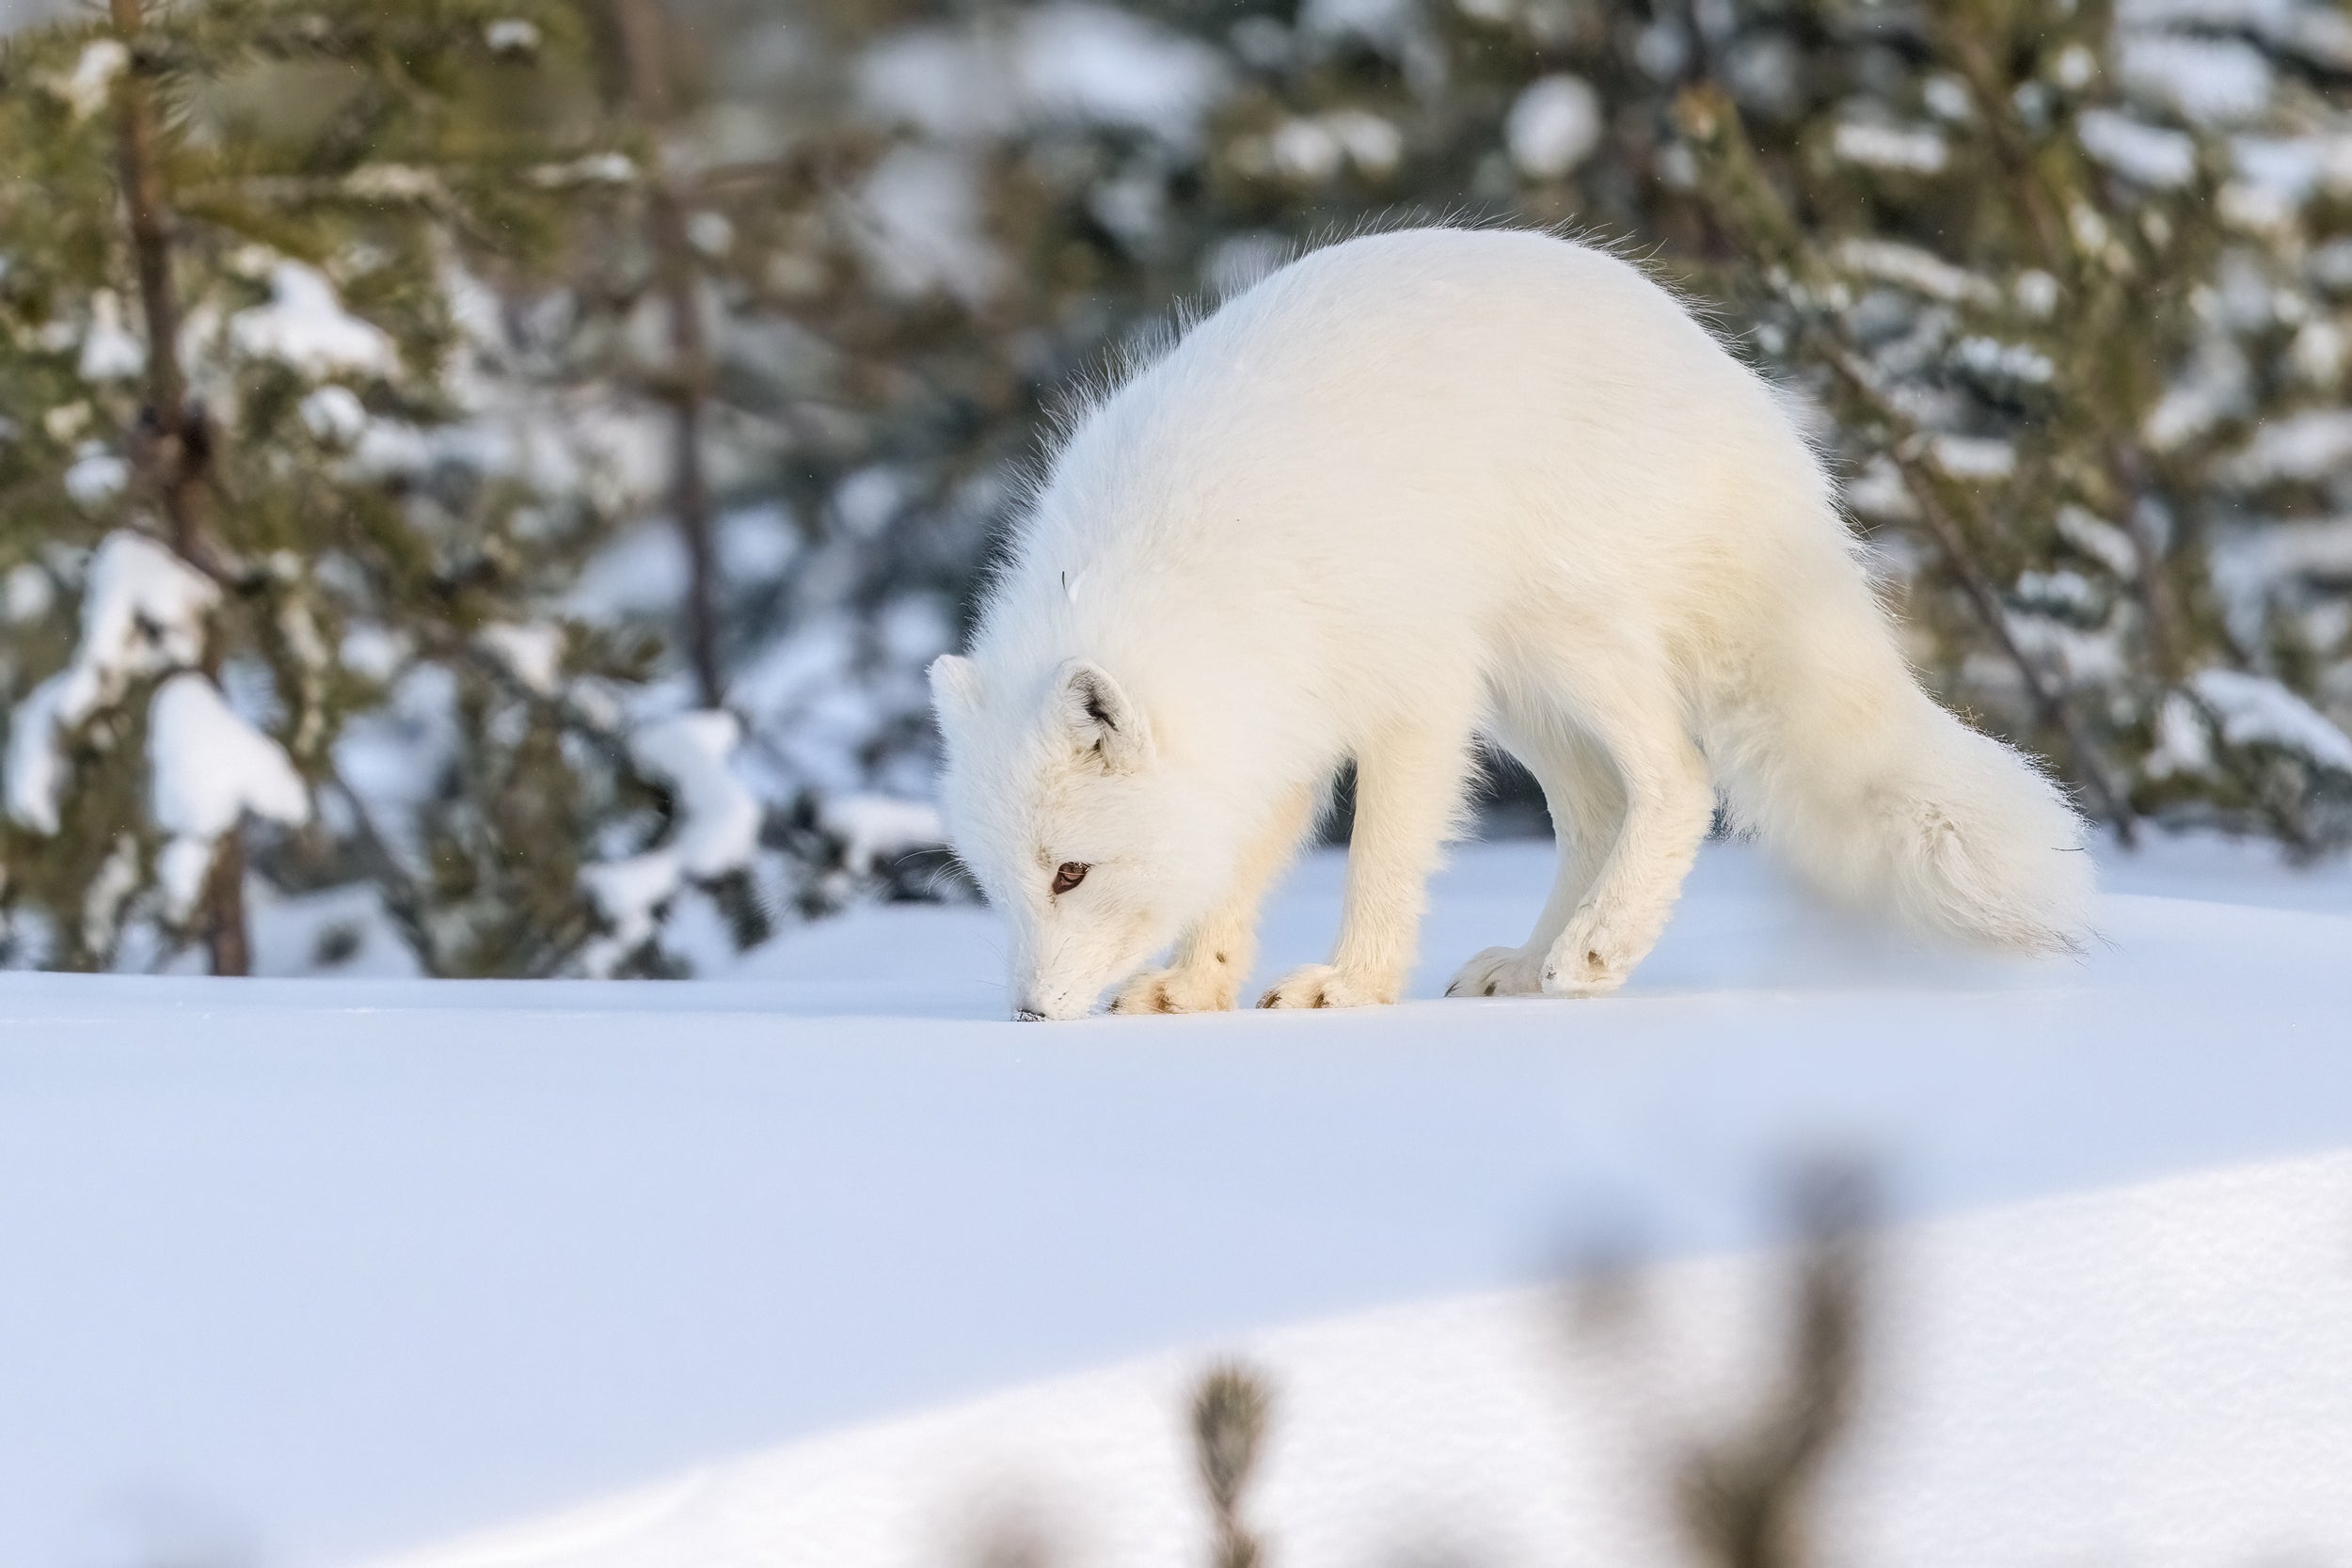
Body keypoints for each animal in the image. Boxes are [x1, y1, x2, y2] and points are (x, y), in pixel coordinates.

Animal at [928, 227, 2092, 1022]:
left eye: (1070, 873)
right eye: (997, 884)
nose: (1028, 1013)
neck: (1195, 568)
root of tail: (1757, 416)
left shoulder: (1411, 697)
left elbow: (1382, 858)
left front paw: (1352, 983)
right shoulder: (1281, 732)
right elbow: (1237, 873)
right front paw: (1194, 986)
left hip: (1560, 638)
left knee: (1677, 779)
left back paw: (1596, 951)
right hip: (1525, 696)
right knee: (1598, 808)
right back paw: (1535, 965)